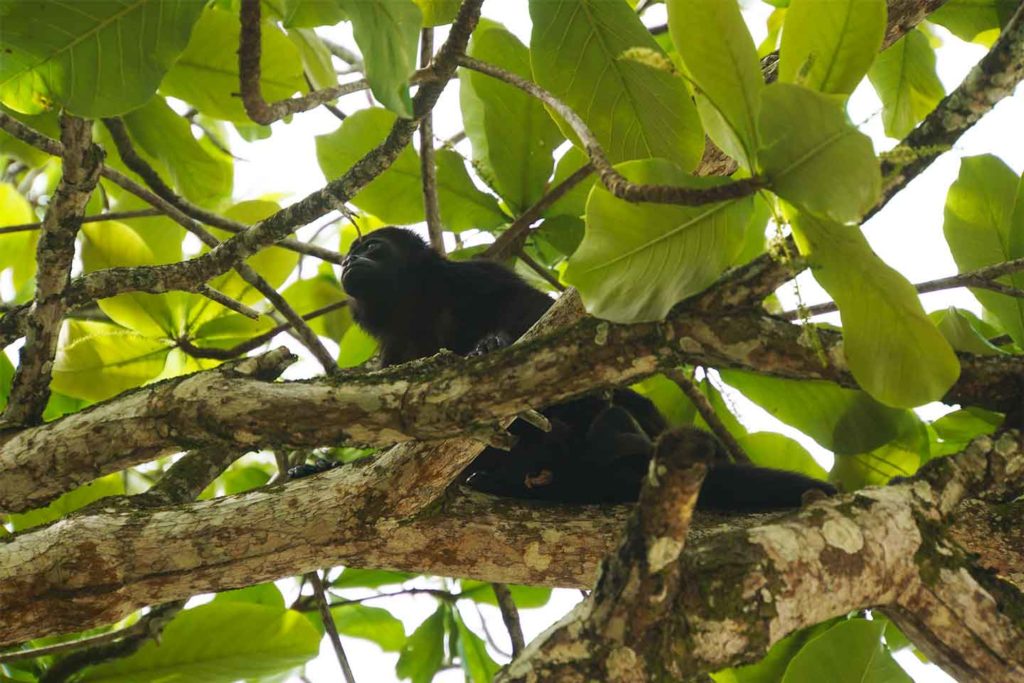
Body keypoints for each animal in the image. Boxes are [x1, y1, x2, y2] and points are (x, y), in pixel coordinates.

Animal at [292, 227, 835, 509]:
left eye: (372, 248)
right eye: (349, 254)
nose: (349, 262)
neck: (416, 307)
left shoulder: (472, 275)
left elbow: (535, 313)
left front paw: (493, 341)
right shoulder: (395, 354)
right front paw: (319, 466)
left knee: (614, 402)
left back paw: (621, 437)